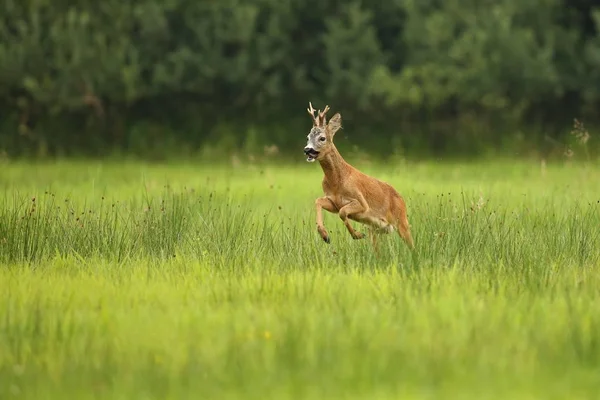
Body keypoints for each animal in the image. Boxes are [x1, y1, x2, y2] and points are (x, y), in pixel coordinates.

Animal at [302, 103, 414, 252]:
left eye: (322, 138)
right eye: (308, 137)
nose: (307, 149)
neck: (337, 182)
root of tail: (401, 198)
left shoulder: (361, 202)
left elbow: (343, 212)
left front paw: (357, 235)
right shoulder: (333, 202)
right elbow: (318, 201)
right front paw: (325, 236)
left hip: (401, 220)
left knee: (412, 244)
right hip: (376, 229)